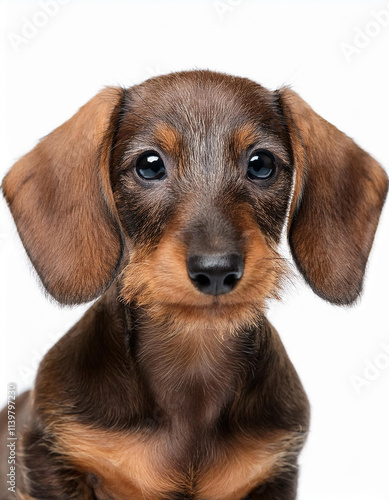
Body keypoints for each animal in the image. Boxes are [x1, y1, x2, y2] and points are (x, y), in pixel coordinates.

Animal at [0, 71, 386, 500]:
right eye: (149, 165)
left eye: (261, 164)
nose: (216, 270)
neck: (193, 357)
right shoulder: (47, 454)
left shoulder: (274, 471)